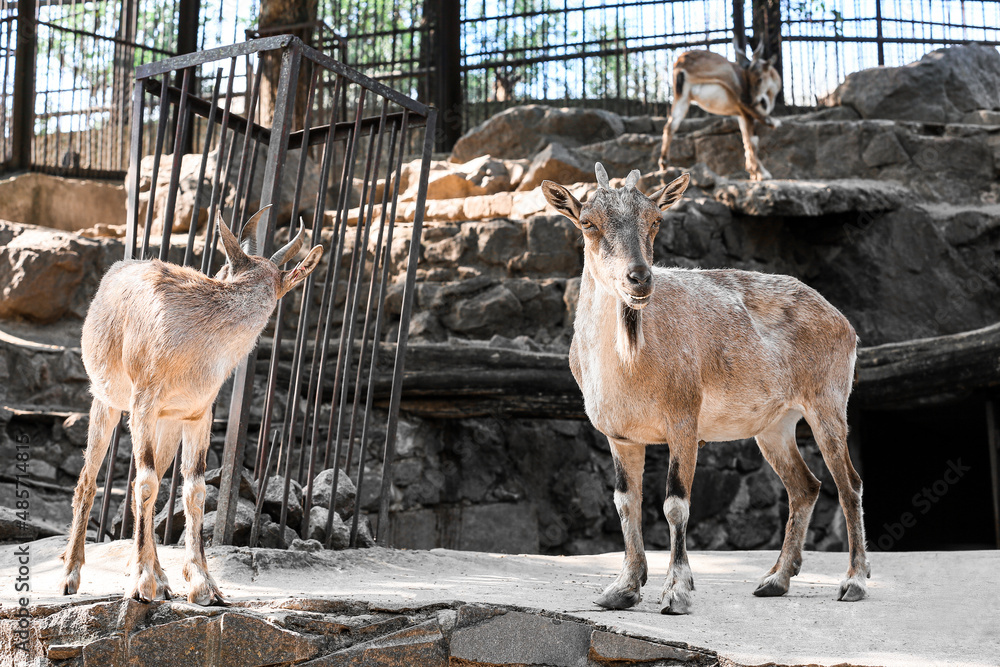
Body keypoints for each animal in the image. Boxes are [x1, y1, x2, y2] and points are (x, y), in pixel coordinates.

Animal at [60, 207, 324, 604]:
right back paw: (72, 575)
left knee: (152, 484)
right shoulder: (143, 404)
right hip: (106, 402)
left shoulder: (198, 414)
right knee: (88, 482)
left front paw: (202, 584)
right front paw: (141, 583)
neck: (196, 340)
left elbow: (194, 490)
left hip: (167, 425)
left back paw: (162, 578)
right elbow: (144, 482)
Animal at [540, 166, 868, 616]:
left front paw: (676, 592)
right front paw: (622, 588)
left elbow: (675, 504)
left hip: (828, 403)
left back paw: (853, 581)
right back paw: (775, 580)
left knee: (849, 484)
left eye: (655, 220)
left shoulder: (683, 422)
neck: (630, 363)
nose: (639, 278)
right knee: (805, 486)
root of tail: (843, 322)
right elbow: (626, 502)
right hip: (775, 426)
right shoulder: (620, 435)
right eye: (588, 222)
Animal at [660, 39, 784, 180]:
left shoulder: (741, 115)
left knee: (670, 126)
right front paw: (761, 173)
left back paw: (664, 164)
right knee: (743, 102)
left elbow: (746, 138)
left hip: (682, 97)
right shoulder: (745, 112)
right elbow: (751, 140)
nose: (754, 100)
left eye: (759, 79)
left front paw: (753, 172)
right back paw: (773, 122)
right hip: (727, 75)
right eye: (755, 79)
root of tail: (681, 63)